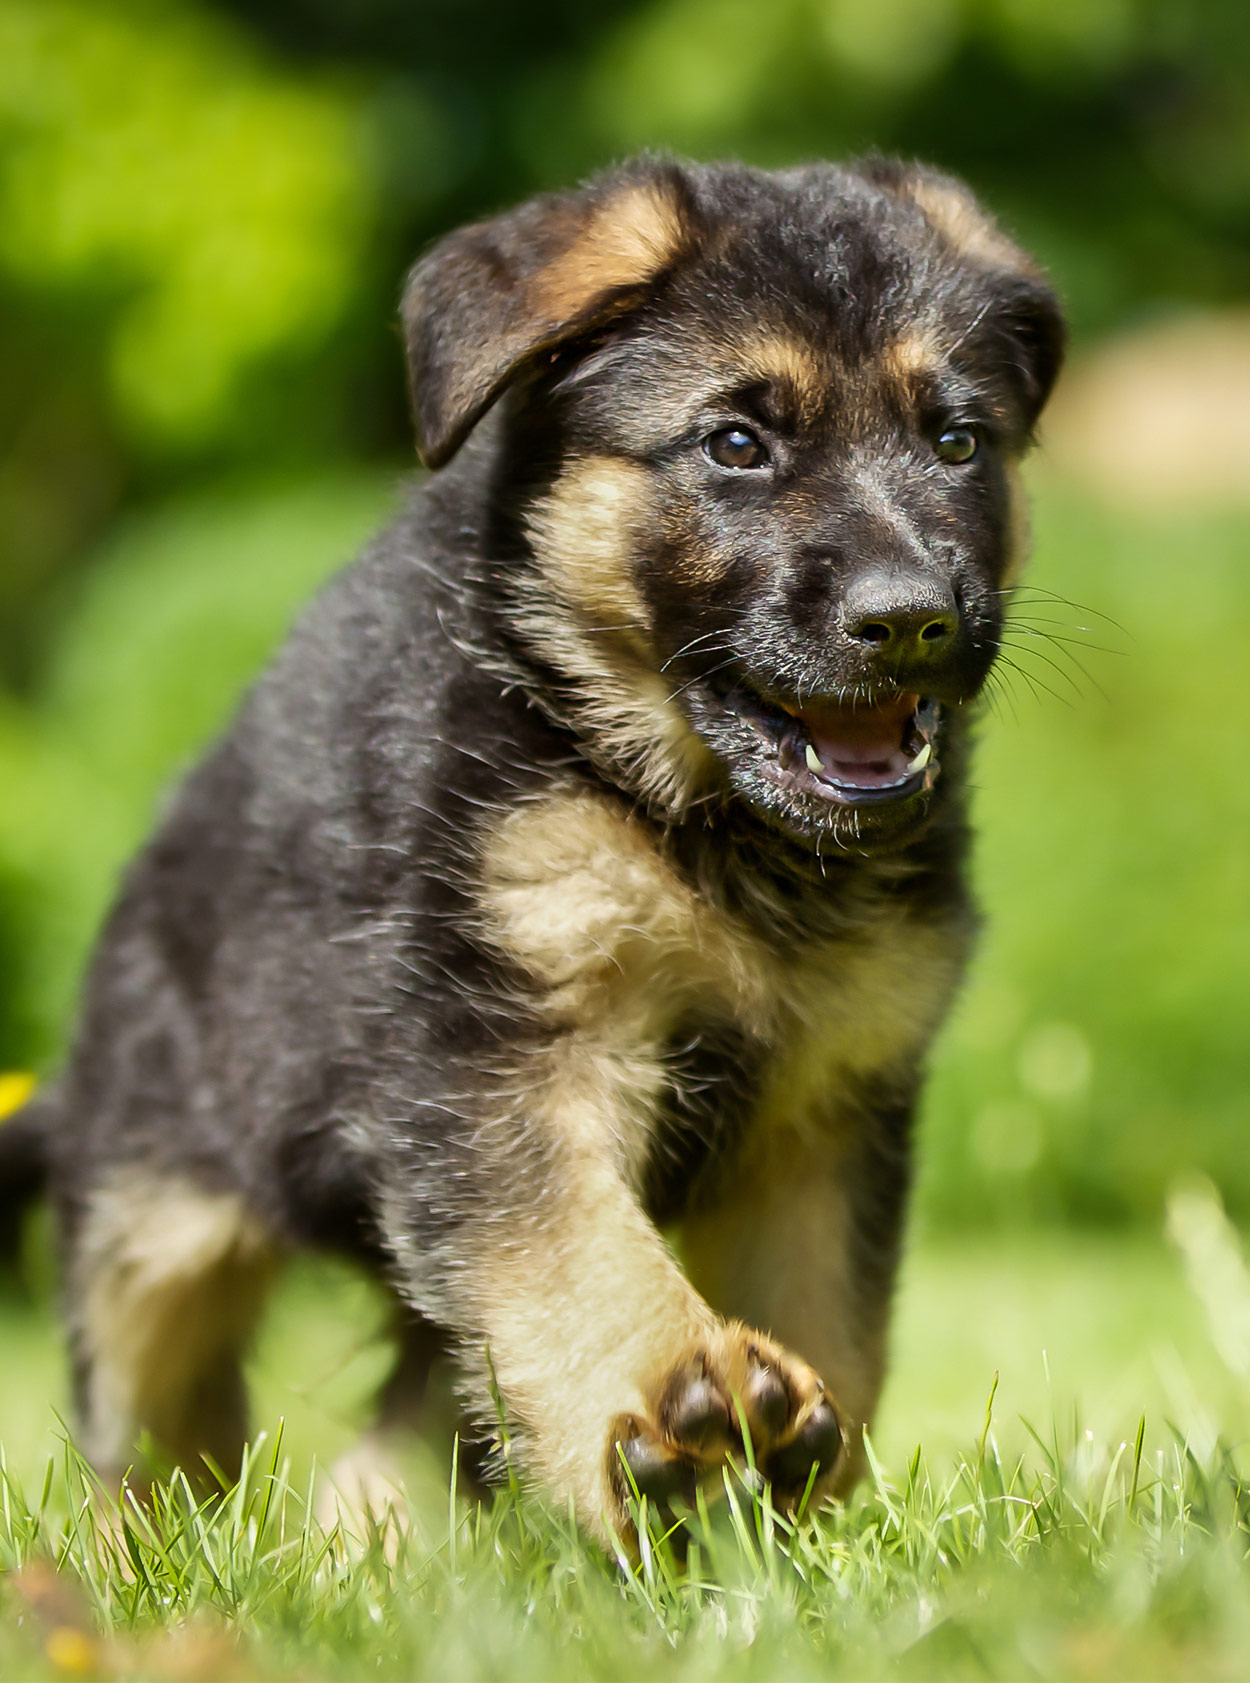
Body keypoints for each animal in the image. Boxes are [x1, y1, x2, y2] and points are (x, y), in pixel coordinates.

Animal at [0, 154, 1063, 1541]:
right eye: (736, 444)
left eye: (954, 441)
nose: (910, 621)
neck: (690, 818)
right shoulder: (500, 1049)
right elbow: (571, 1245)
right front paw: (672, 1396)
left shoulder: (824, 1107)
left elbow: (830, 1317)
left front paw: (797, 1512)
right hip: (152, 1215)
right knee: (153, 1421)